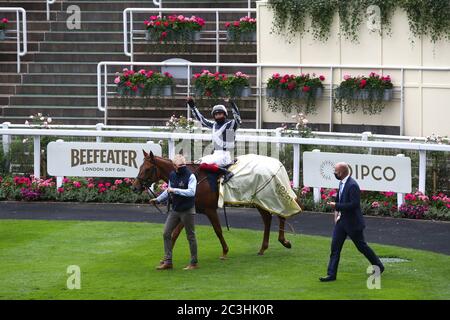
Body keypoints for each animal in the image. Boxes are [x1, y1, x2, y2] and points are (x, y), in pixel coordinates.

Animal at [133, 150, 296, 258]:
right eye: (140, 167)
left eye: (147, 169)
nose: (135, 187)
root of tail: (278, 163)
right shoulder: (188, 210)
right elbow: (174, 234)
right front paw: (165, 259)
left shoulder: (209, 209)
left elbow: (218, 230)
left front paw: (225, 251)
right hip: (259, 200)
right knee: (268, 218)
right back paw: (265, 248)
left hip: (269, 195)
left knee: (281, 213)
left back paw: (284, 241)